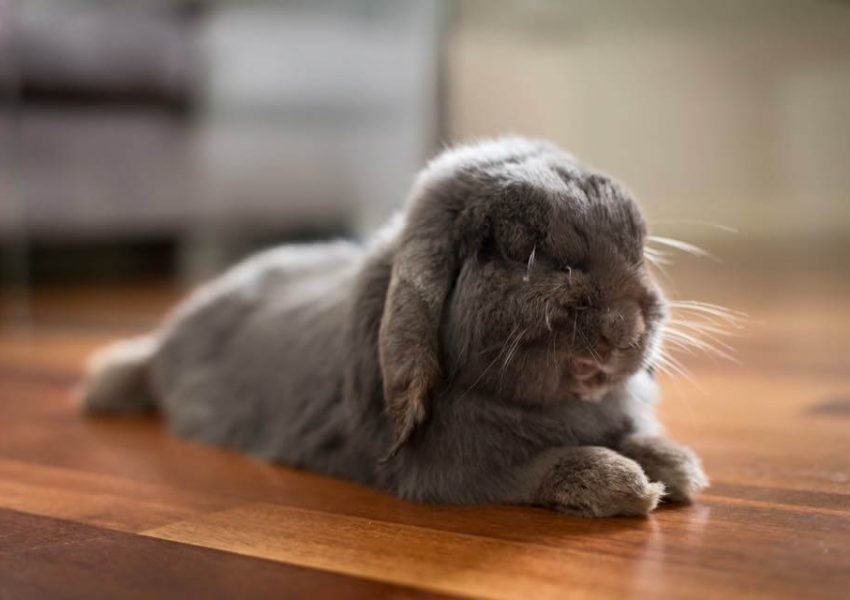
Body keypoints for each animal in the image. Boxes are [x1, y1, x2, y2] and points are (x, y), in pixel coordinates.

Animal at [79, 136, 704, 516]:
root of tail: (165, 345)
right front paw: (630, 486)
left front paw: (679, 468)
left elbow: (632, 435)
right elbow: (546, 465)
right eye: (519, 251)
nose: (625, 330)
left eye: (637, 248)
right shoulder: (456, 471)